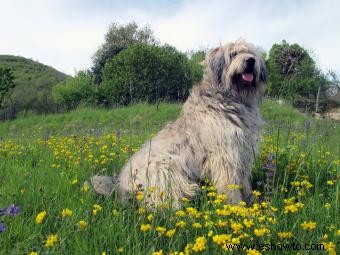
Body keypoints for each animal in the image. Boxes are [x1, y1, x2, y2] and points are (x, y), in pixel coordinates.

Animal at [91, 39, 266, 207]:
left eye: (251, 53)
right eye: (233, 54)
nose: (250, 61)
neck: (229, 99)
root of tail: (120, 187)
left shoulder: (242, 152)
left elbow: (243, 182)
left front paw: (251, 200)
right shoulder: (226, 155)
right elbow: (230, 186)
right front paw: (237, 208)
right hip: (165, 168)